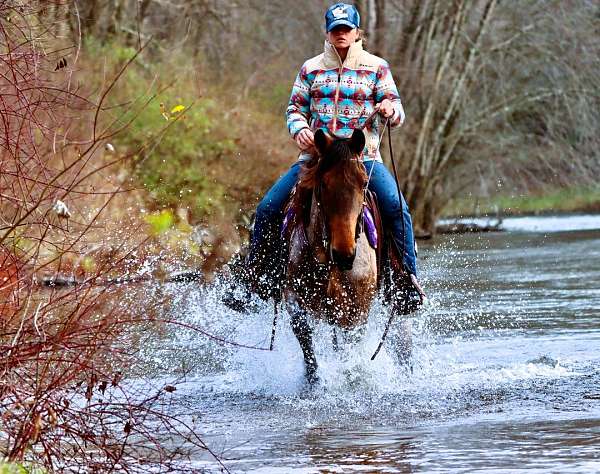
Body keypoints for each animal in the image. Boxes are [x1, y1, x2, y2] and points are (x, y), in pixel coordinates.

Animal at [284, 128, 378, 384]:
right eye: (323, 184)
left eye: (364, 183)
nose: (345, 254)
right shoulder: (294, 298)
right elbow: (305, 339)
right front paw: (313, 380)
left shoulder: (356, 308)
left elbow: (349, 347)